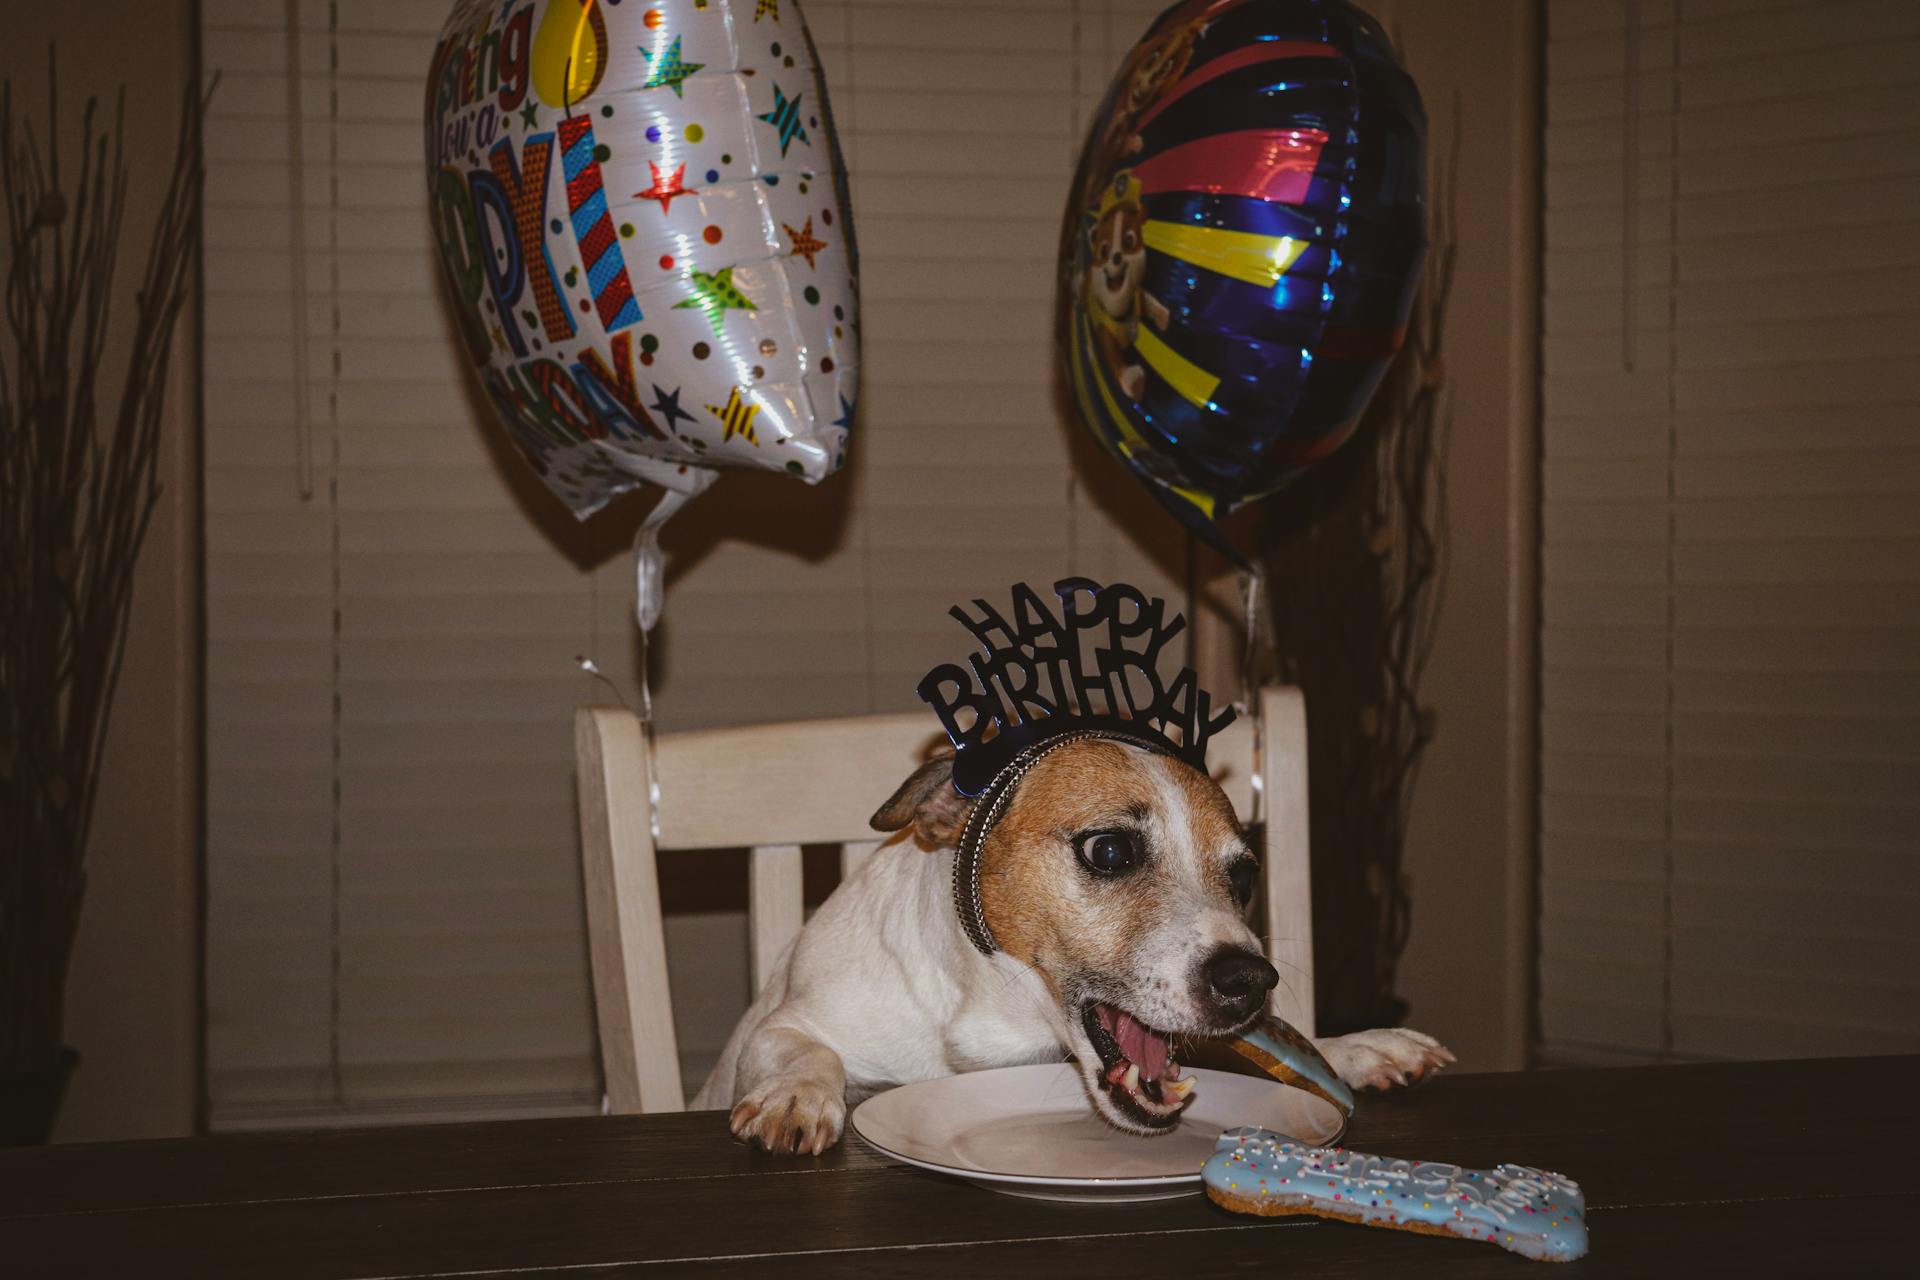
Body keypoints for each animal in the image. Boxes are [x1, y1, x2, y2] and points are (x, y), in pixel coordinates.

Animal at [695, 736, 1451, 1159]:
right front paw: (796, 1096)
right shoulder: (781, 1028)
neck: (989, 1019)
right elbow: (806, 1051)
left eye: (1243, 877)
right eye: (1110, 850)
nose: (1250, 981)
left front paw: (1359, 1047)